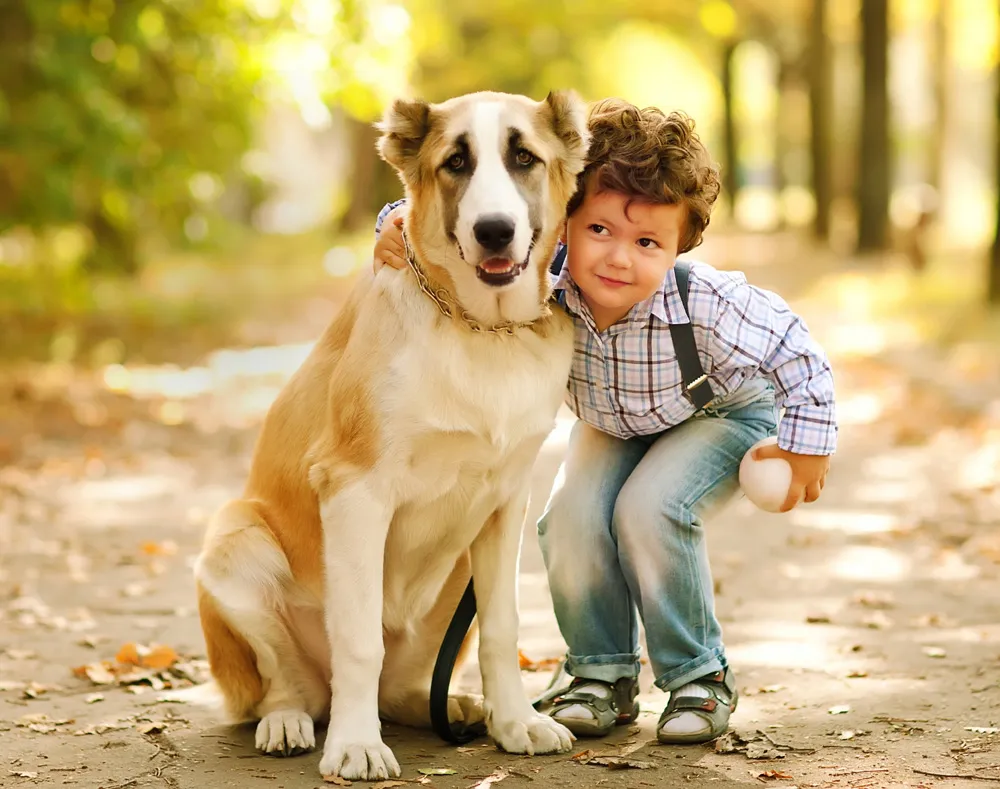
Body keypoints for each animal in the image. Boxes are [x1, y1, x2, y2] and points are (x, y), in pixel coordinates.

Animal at [191, 89, 588, 780]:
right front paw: (355, 745)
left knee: (401, 688)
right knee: (286, 681)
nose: (494, 231)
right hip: (233, 544)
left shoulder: (505, 503)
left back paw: (455, 706)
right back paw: (290, 721)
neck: (480, 332)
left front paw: (517, 723)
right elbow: (356, 639)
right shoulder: (354, 491)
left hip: (457, 575)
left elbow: (505, 626)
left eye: (524, 158)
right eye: (456, 162)